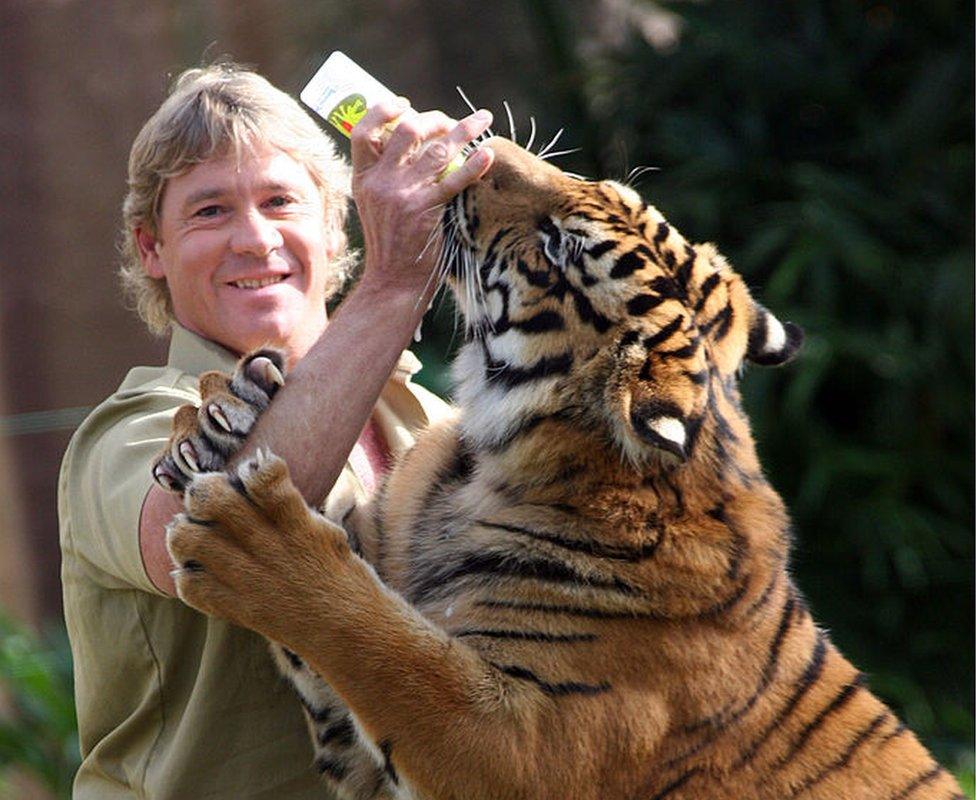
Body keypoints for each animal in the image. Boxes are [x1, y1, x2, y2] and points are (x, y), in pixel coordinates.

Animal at [152, 134, 960, 796]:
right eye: (605, 188)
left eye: (559, 245)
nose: (486, 149)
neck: (491, 463)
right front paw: (223, 415)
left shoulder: (518, 746)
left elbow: (385, 648)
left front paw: (251, 540)